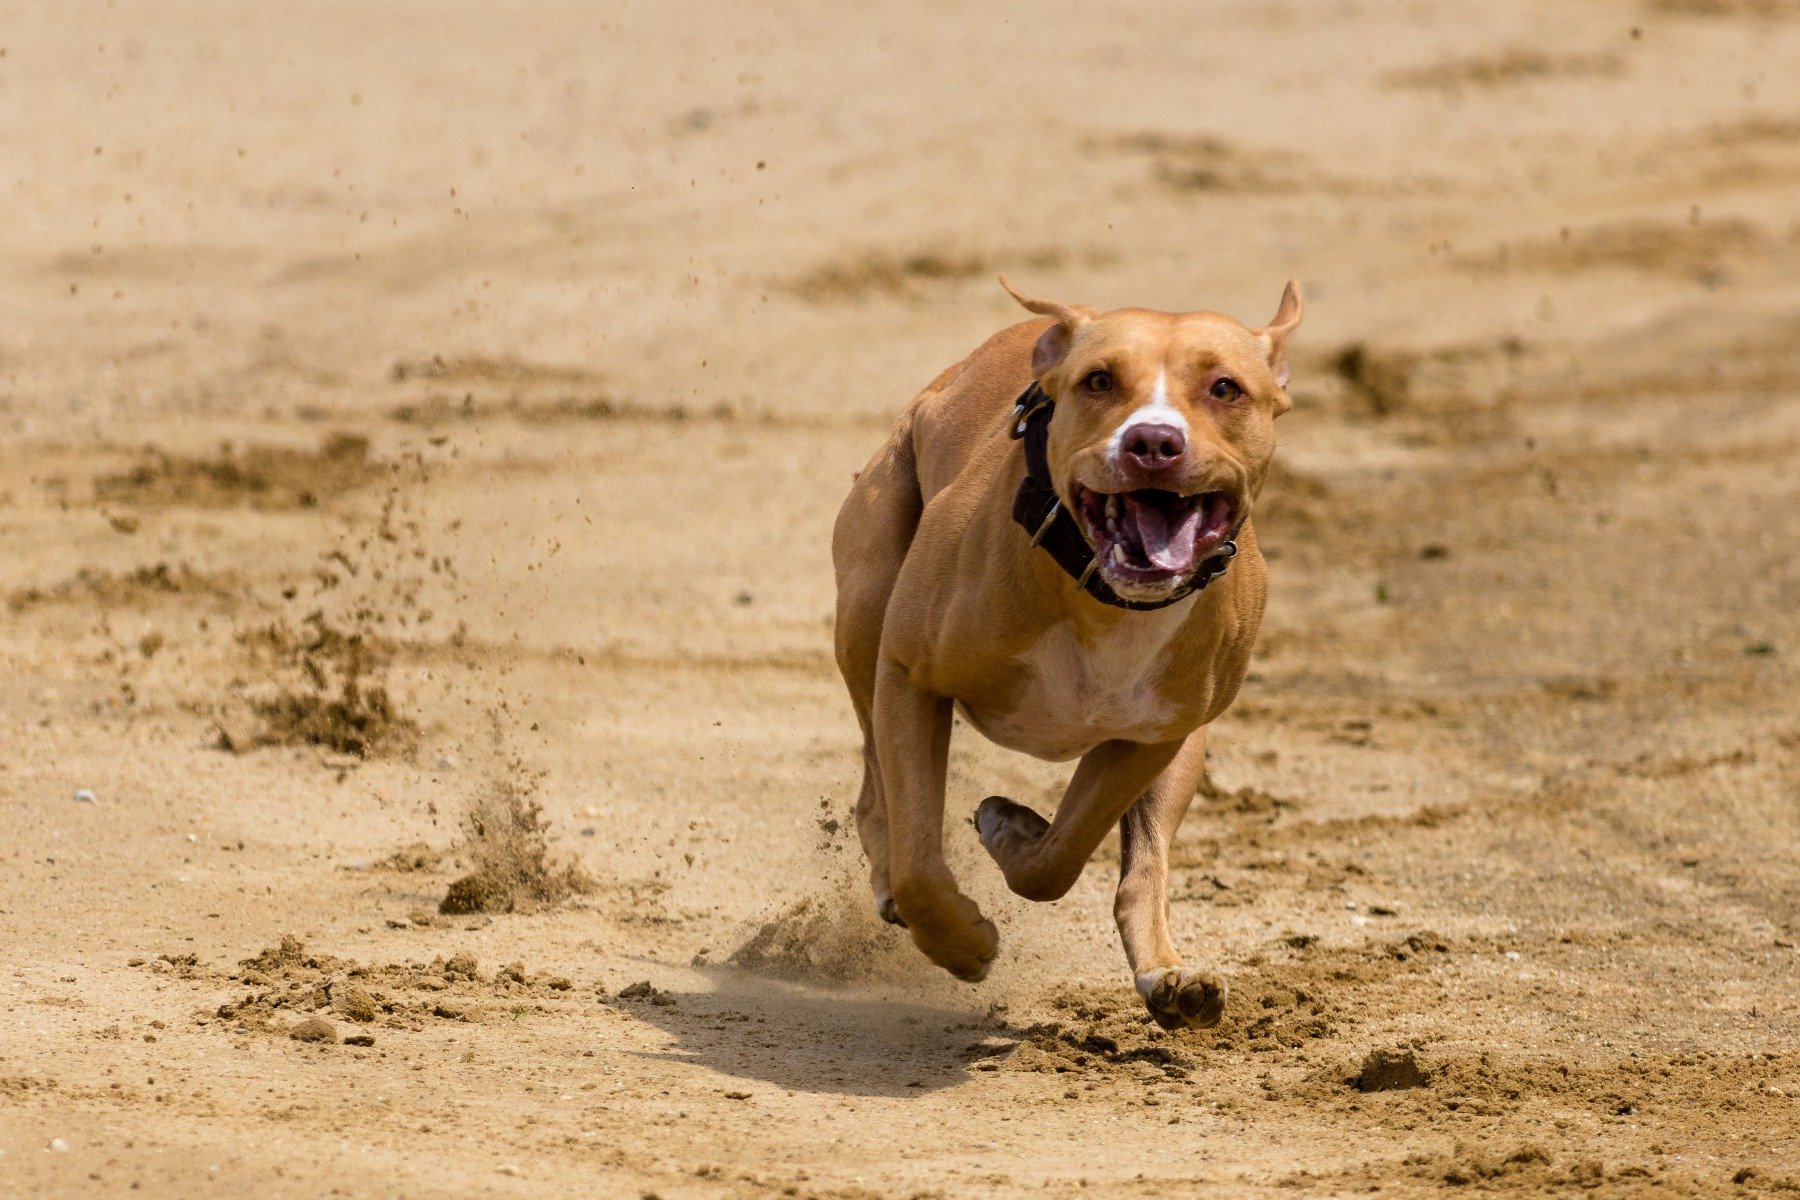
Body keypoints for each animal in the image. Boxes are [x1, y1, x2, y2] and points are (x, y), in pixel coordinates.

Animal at [835, 277, 1303, 1029]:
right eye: (1099, 380)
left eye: (1226, 388)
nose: (1153, 440)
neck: (1106, 599)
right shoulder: (910, 677)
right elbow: (919, 863)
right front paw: (964, 944)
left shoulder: (1149, 740)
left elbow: (1062, 854)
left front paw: (1011, 832)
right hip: (865, 613)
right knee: (877, 793)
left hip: (1186, 747)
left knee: (1144, 870)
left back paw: (1169, 977)